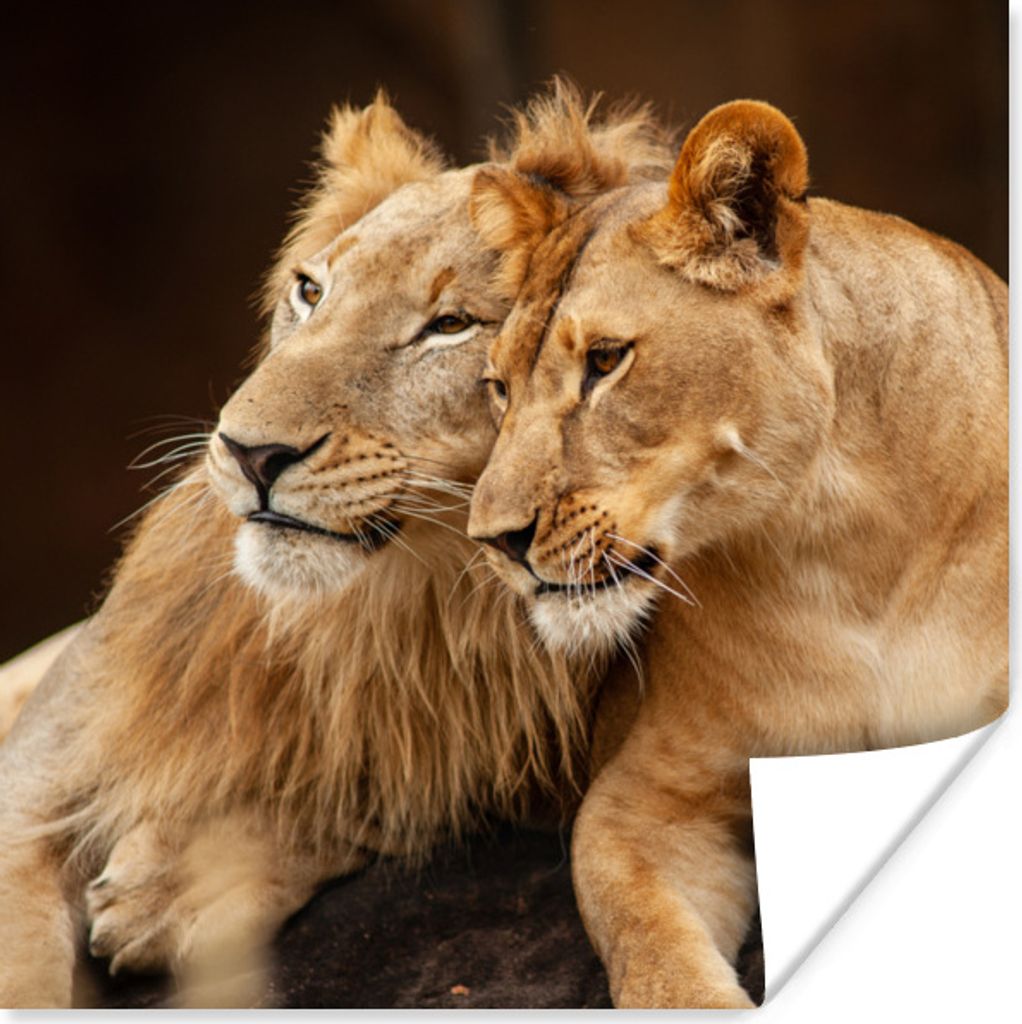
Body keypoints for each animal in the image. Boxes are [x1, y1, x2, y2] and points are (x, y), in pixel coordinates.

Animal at [0, 84, 673, 1007]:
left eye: (450, 325)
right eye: (311, 291)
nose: (248, 452)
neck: (402, 606)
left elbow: (388, 790)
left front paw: (175, 886)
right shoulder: (34, 777)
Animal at [466, 100, 1007, 1007]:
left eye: (606, 361)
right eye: (499, 388)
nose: (493, 540)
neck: (843, 545)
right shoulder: (645, 800)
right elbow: (656, 953)